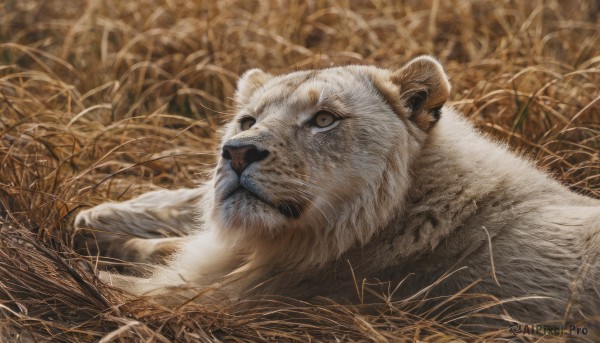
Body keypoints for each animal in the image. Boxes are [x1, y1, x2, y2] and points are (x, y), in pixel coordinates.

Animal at [76, 57, 600, 336]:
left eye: (324, 119)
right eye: (247, 120)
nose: (237, 152)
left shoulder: (232, 303)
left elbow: (116, 288)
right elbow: (170, 244)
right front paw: (94, 225)